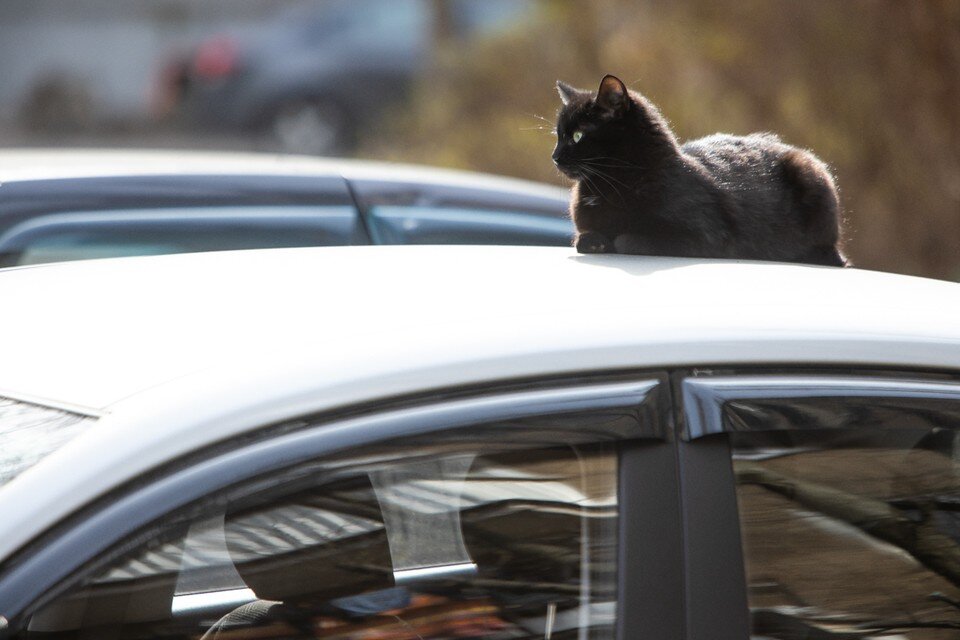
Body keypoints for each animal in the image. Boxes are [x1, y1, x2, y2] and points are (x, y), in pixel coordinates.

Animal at [556, 75, 848, 264]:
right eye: (558, 135)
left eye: (578, 136)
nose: (555, 157)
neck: (611, 183)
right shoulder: (584, 229)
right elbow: (583, 239)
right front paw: (597, 240)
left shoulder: (707, 237)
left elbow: (627, 240)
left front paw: (616, 239)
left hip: (810, 173)